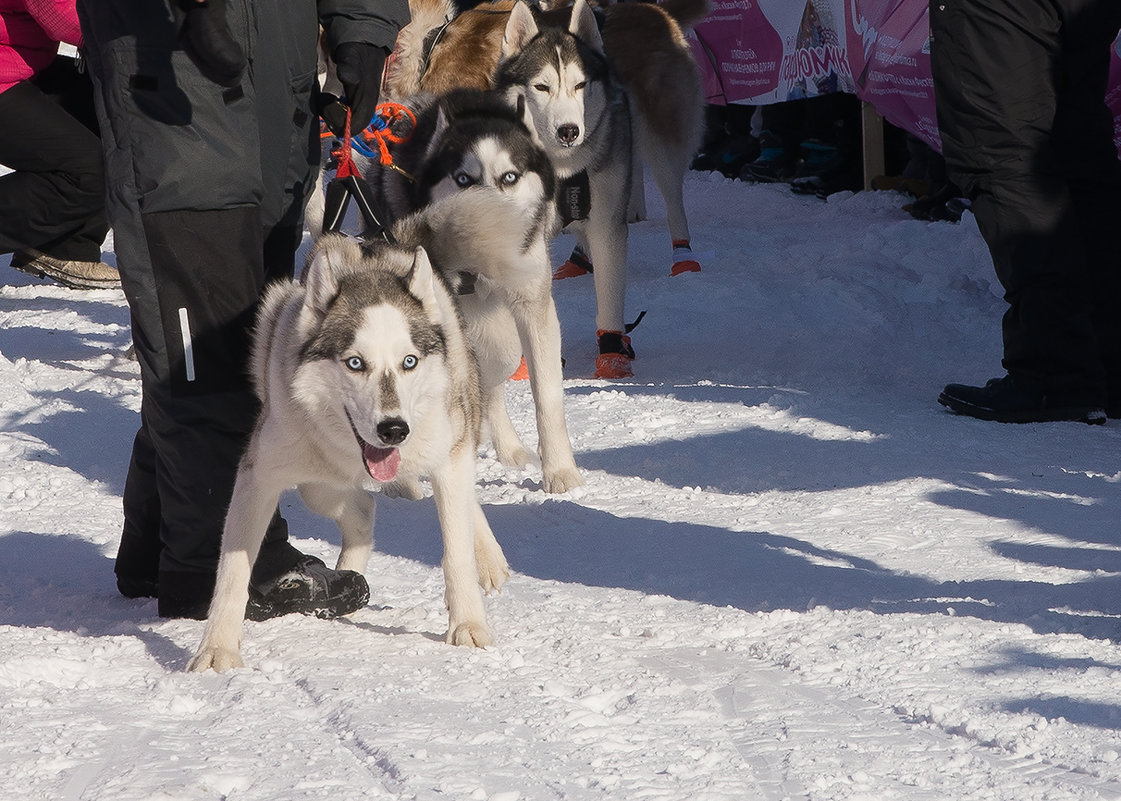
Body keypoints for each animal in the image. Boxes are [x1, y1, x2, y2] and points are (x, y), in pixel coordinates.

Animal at [188, 192, 515, 672]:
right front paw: (217, 648)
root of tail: (385, 242)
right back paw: (349, 574)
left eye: (409, 361)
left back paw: (487, 558)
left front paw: (468, 625)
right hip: (313, 479)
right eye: (355, 363)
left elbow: (456, 552)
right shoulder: (258, 476)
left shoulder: (448, 458)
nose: (393, 429)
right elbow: (232, 572)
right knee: (359, 506)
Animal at [376, 86, 587, 488]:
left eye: (510, 177)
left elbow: (547, 395)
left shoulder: (532, 303)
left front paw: (560, 471)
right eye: (463, 179)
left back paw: (509, 448)